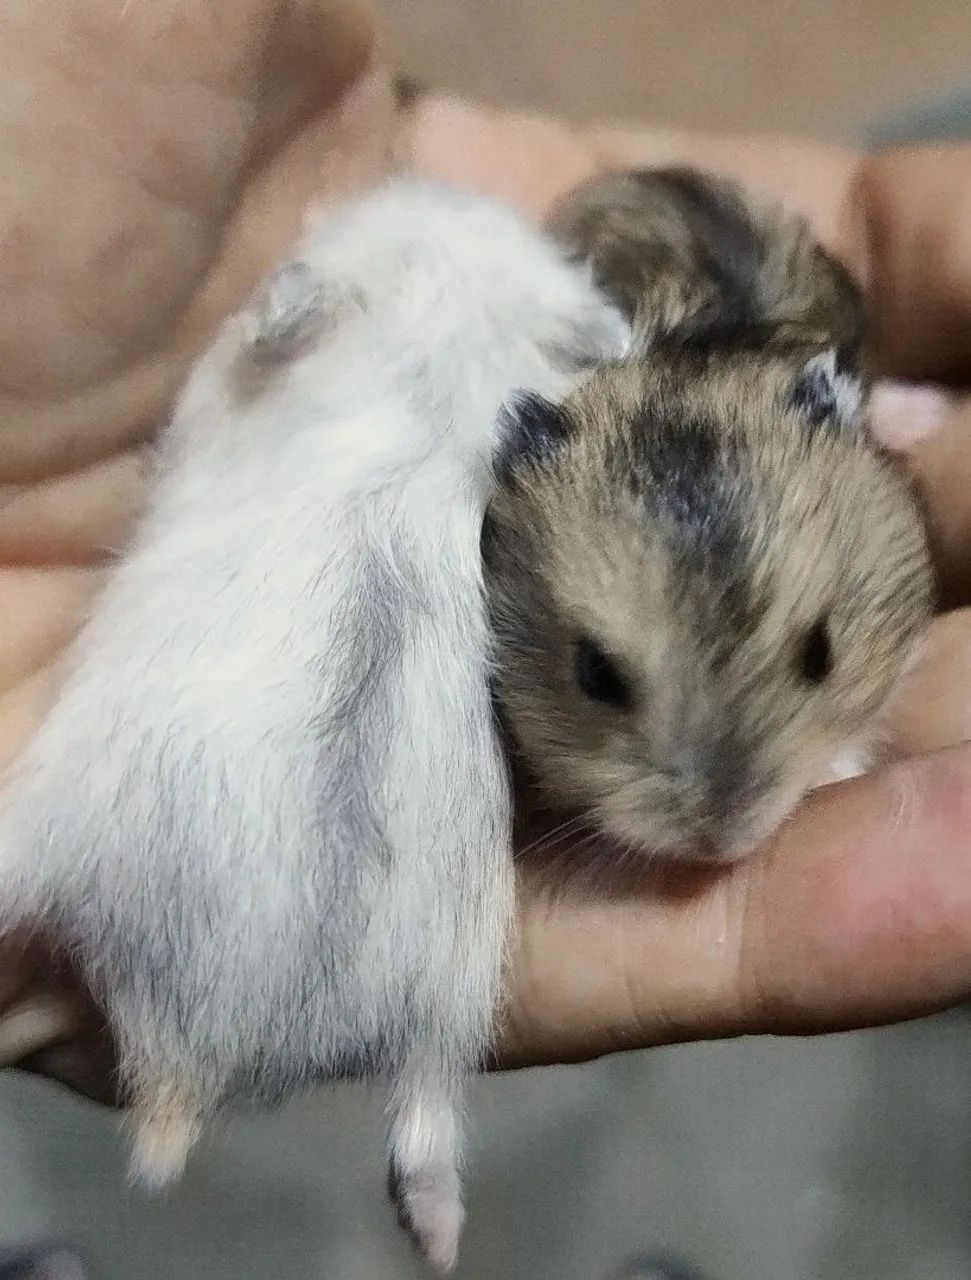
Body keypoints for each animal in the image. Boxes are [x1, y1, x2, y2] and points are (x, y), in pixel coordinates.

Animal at [0, 176, 628, 1270]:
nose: (434, 183)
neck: (422, 388)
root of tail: (213, 1044)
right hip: (452, 988)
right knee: (426, 1120)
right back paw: (439, 1241)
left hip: (45, 828)